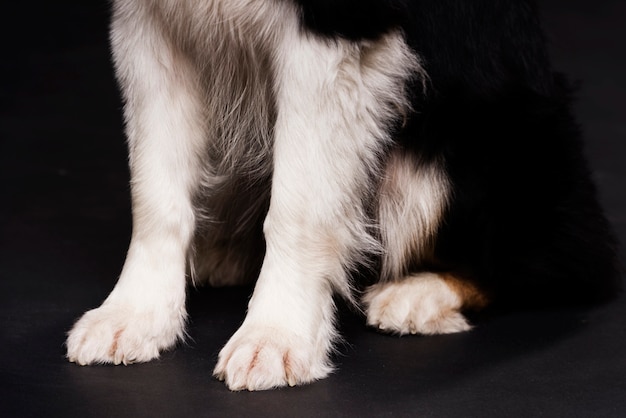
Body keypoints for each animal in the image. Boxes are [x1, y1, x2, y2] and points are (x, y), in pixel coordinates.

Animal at [66, 0, 616, 392]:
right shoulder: (145, 21)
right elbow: (153, 192)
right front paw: (133, 315)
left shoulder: (336, 30)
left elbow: (297, 206)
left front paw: (276, 335)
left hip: (471, 154)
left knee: (559, 262)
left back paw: (419, 294)